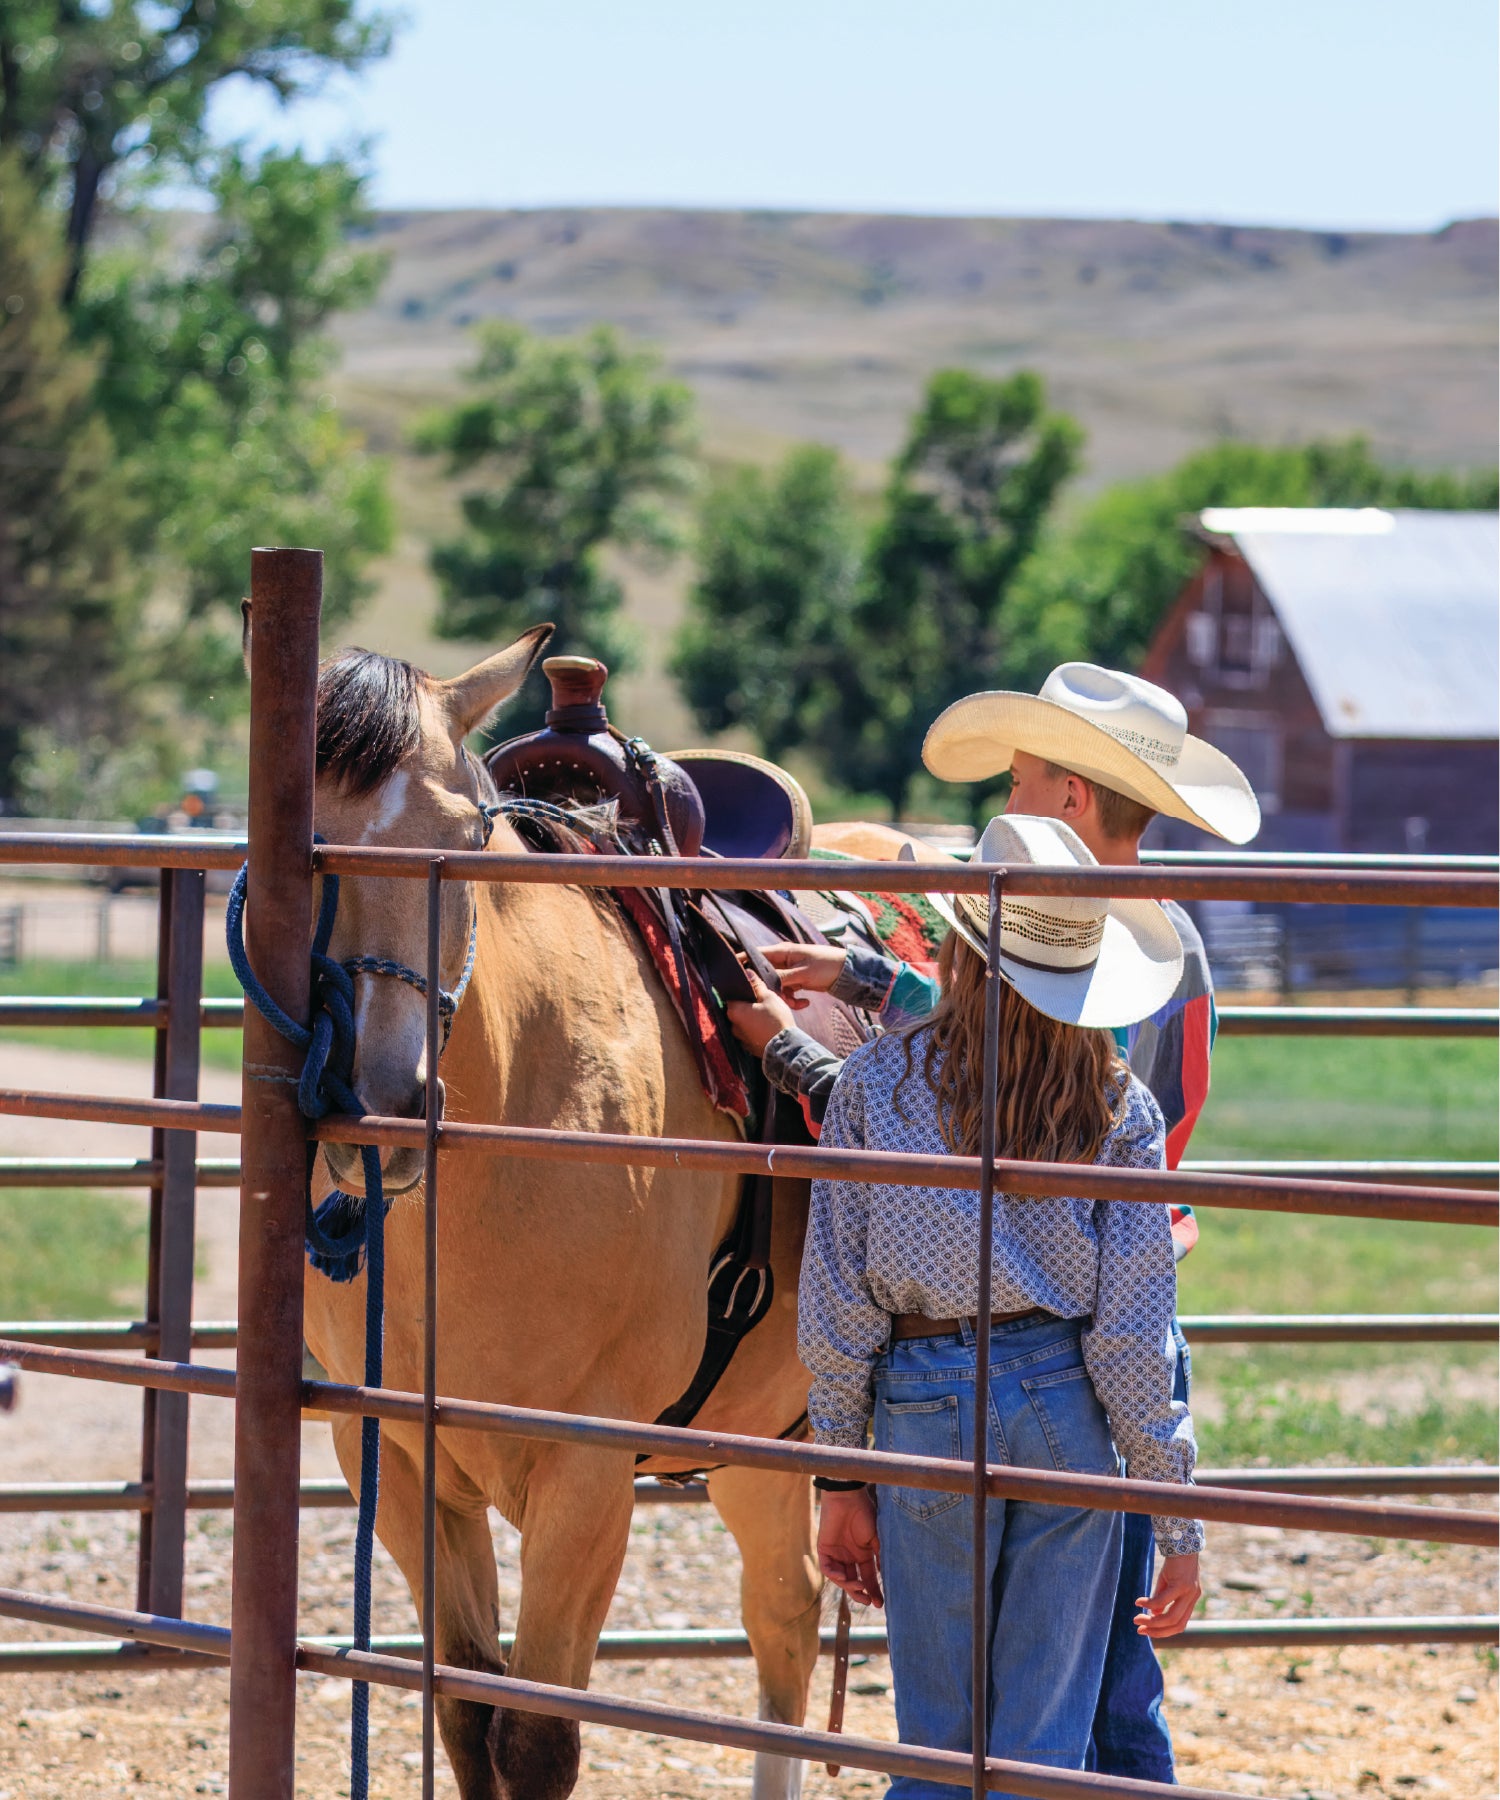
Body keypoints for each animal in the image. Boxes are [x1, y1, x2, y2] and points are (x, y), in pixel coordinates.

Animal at [295, 627, 823, 1800]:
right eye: (300, 847)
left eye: (460, 837)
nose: (382, 1103)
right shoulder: (398, 1461)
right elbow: (468, 1713)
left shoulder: (584, 1478)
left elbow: (535, 1741)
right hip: (764, 1438)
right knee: (789, 1615)